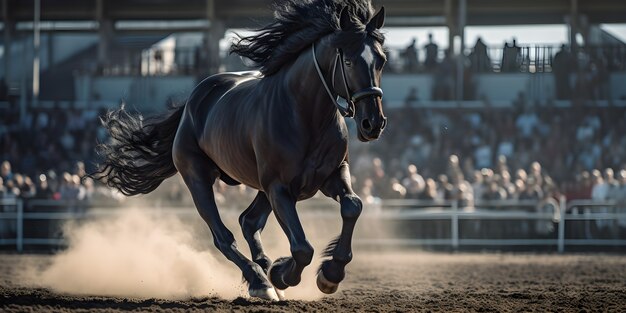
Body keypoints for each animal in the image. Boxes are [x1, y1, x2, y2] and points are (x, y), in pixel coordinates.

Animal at [92, 0, 386, 300]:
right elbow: (302, 248)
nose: (373, 124)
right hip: (198, 179)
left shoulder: (331, 174)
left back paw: (267, 273)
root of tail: (192, 102)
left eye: (382, 60)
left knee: (248, 221)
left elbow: (352, 206)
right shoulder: (279, 188)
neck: (303, 115)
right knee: (224, 236)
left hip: (259, 188)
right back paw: (261, 282)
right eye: (348, 61)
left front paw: (330, 273)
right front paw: (282, 274)